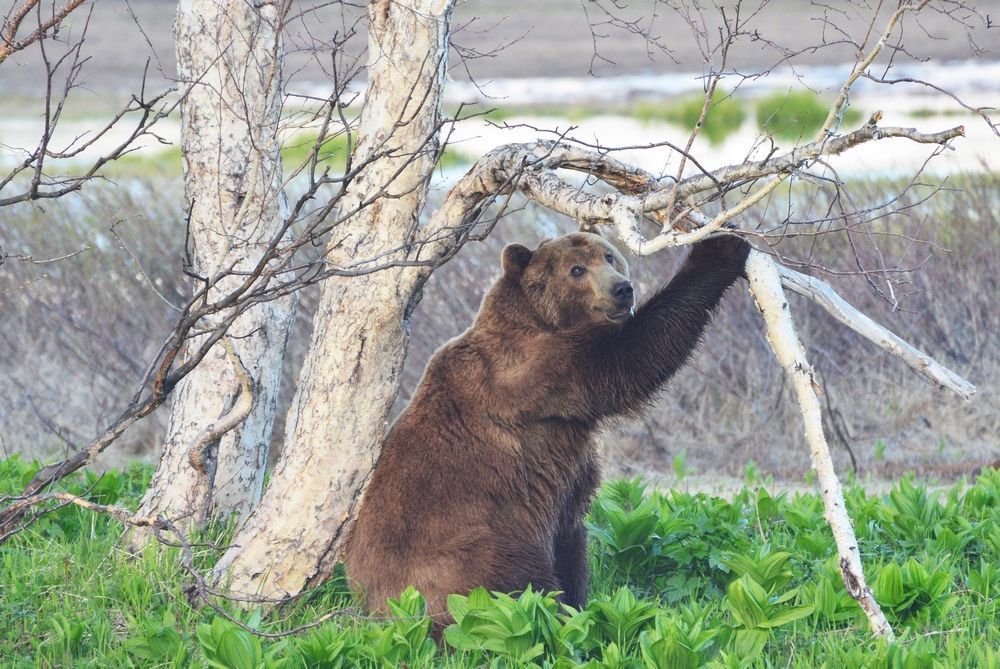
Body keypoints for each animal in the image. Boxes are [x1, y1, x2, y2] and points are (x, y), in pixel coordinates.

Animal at [344, 230, 750, 628]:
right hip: (468, 548)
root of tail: (372, 606)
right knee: (510, 584)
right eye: (576, 269)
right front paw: (720, 249)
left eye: (609, 256)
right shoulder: (534, 372)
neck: (543, 320)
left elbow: (573, 543)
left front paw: (579, 603)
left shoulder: (567, 484)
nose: (622, 288)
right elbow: (632, 354)